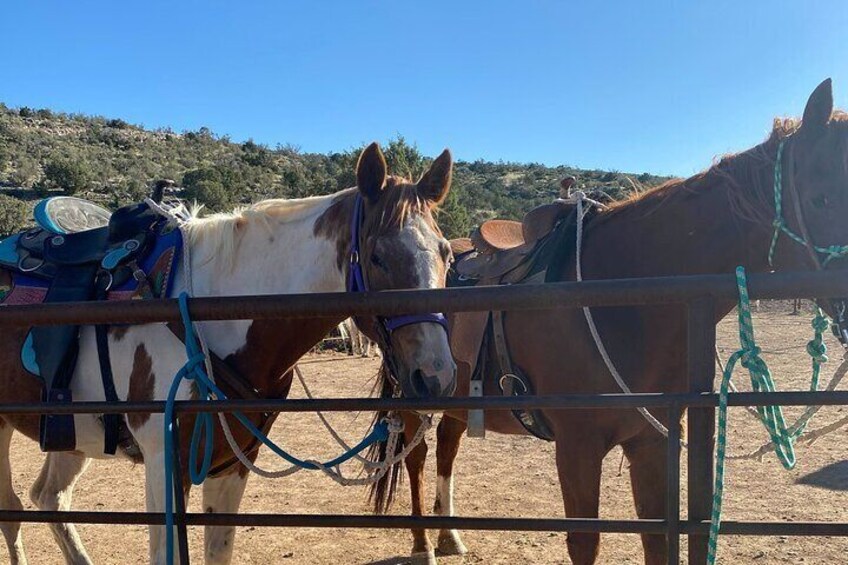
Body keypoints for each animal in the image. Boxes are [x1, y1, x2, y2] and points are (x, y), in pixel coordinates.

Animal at [0, 141, 458, 564]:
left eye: (447, 252)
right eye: (377, 256)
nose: (435, 375)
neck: (212, 311)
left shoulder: (232, 463)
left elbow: (218, 551)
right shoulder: (165, 465)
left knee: (49, 497)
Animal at [374, 80, 848, 564]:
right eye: (821, 198)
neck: (624, 302)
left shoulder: (652, 444)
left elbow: (658, 539)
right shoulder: (578, 447)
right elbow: (586, 542)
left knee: (447, 448)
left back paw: (449, 535)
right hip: (416, 391)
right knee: (415, 456)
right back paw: (423, 545)